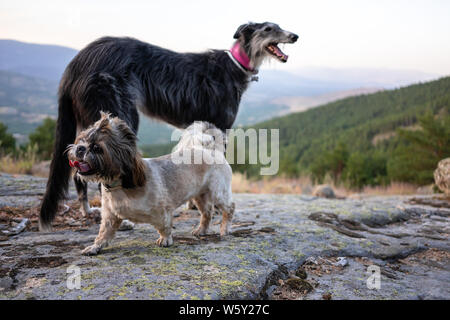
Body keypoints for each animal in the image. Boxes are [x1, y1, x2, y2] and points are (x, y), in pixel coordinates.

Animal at [69, 112, 236, 255]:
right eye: (81, 140)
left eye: (97, 148)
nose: (80, 148)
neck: (120, 184)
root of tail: (213, 151)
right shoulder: (110, 216)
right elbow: (103, 234)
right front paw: (95, 247)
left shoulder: (162, 211)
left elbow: (164, 226)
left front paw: (165, 239)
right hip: (199, 196)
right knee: (207, 212)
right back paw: (201, 230)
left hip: (218, 193)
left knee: (229, 208)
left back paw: (224, 229)